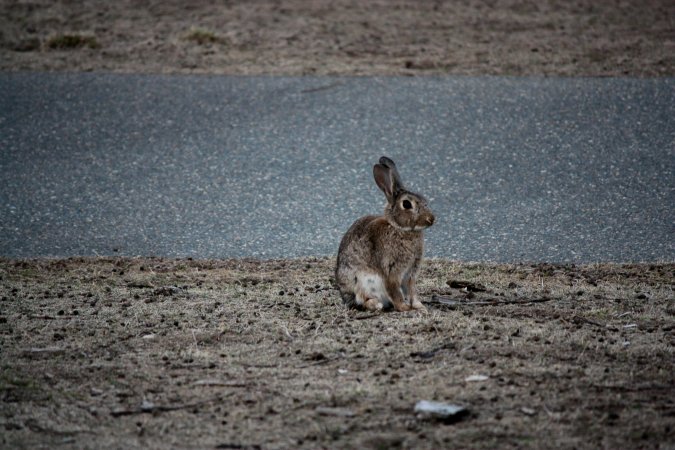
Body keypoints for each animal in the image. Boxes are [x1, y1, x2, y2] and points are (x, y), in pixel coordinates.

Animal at [336, 156, 435, 312]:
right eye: (407, 204)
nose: (431, 219)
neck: (399, 228)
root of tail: (345, 296)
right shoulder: (391, 270)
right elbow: (394, 290)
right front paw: (403, 307)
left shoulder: (411, 272)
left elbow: (411, 290)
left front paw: (419, 306)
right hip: (362, 282)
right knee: (362, 299)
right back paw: (376, 304)